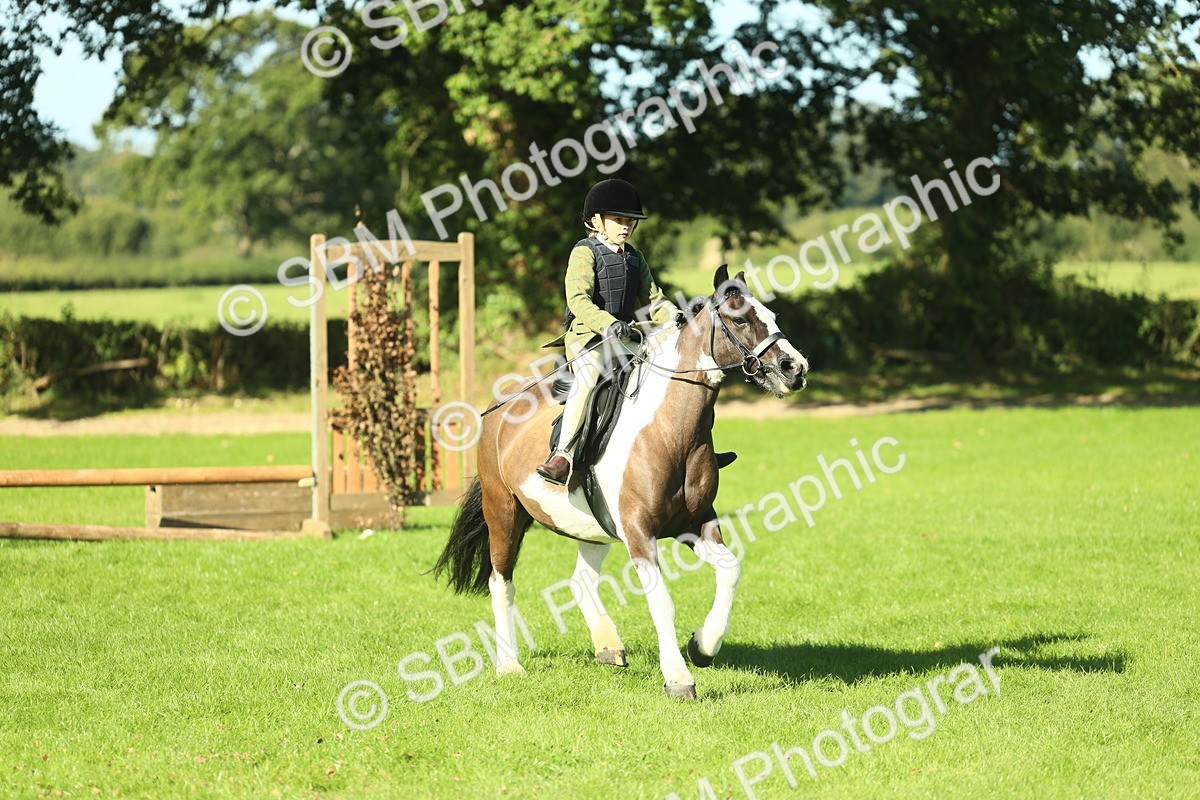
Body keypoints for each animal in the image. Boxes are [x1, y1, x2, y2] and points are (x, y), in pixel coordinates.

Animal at [433, 264, 808, 699]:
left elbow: (730, 570)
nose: (795, 368)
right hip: (503, 511)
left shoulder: (695, 524)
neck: (671, 431)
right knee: (501, 582)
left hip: (591, 527)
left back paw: (607, 646)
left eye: (773, 316)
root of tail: (501, 400)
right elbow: (661, 600)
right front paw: (678, 678)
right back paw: (509, 665)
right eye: (741, 319)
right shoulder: (638, 531)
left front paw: (702, 647)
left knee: (581, 580)